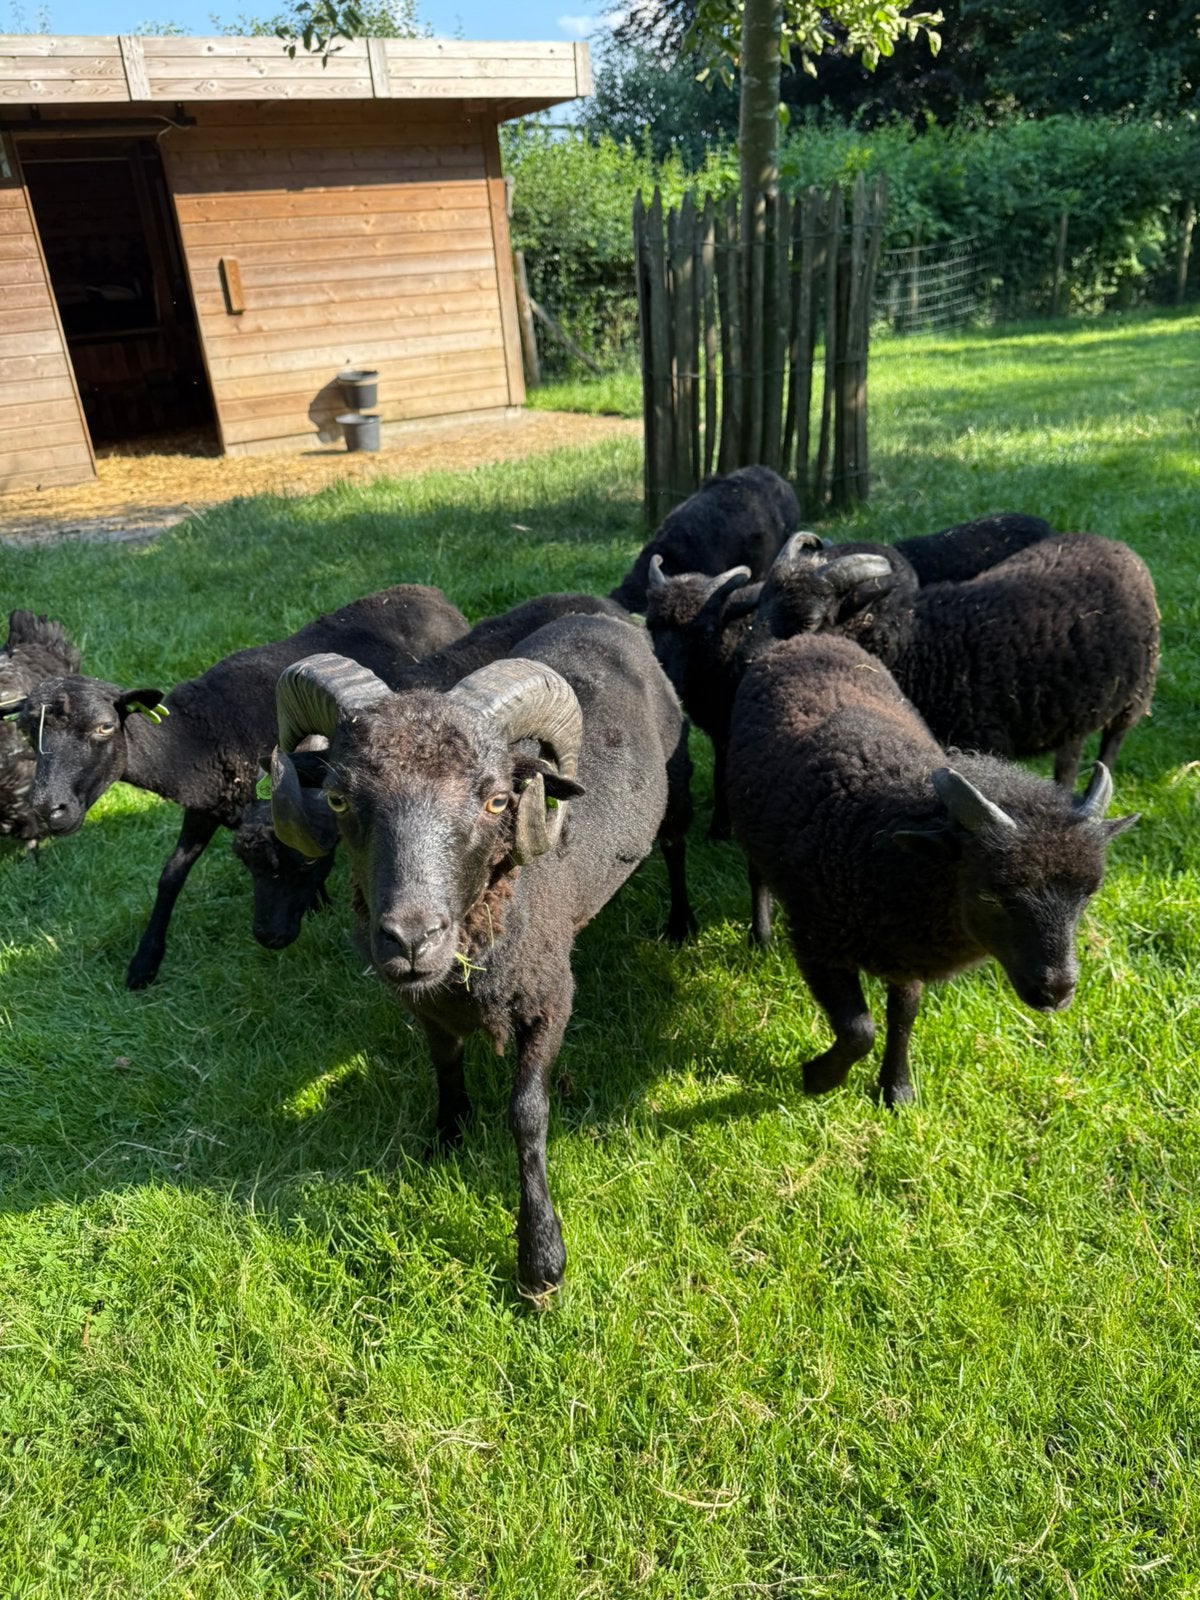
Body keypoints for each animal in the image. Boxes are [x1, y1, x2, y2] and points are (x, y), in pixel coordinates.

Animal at [18, 584, 468, 988]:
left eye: (104, 727)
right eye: (24, 731)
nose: (48, 809)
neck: (193, 738)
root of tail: (429, 594)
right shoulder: (206, 806)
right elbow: (171, 874)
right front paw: (144, 962)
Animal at [268, 612, 688, 1292]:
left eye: (498, 801)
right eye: (337, 798)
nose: (411, 939)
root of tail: (605, 616)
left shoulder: (551, 999)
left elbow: (527, 1113)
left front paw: (541, 1259)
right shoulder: (426, 1007)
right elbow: (443, 1064)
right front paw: (447, 1138)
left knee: (676, 846)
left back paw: (681, 923)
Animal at [726, 633, 1138, 1106]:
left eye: (1088, 896)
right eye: (992, 894)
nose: (1056, 992)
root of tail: (809, 637)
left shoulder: (906, 950)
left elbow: (904, 1014)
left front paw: (897, 1089)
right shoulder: (817, 940)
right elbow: (858, 1030)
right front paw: (818, 1078)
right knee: (757, 876)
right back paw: (760, 936)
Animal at [752, 531, 1160, 788]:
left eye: (809, 621)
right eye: (761, 604)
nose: (750, 663)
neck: (916, 645)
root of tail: (1113, 544)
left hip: (1138, 690)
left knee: (1112, 743)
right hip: (1074, 705)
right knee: (1070, 753)